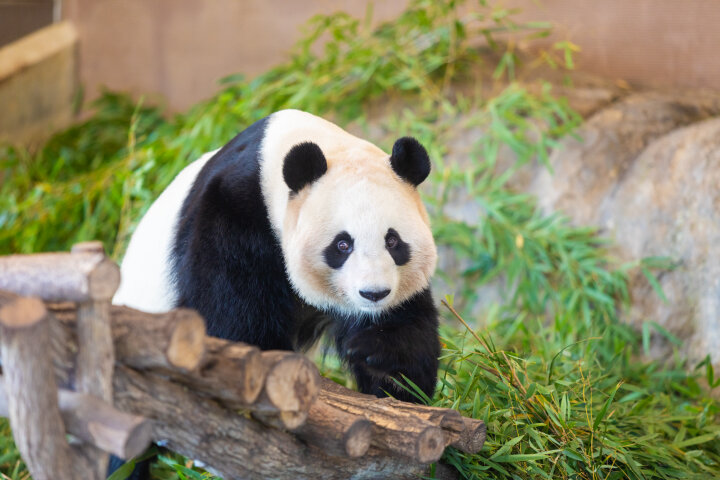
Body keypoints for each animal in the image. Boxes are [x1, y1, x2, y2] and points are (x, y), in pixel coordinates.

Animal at [114, 109, 438, 402]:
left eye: (393, 241)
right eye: (342, 245)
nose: (374, 294)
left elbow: (409, 343)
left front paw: (375, 350)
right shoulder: (231, 213)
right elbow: (232, 321)